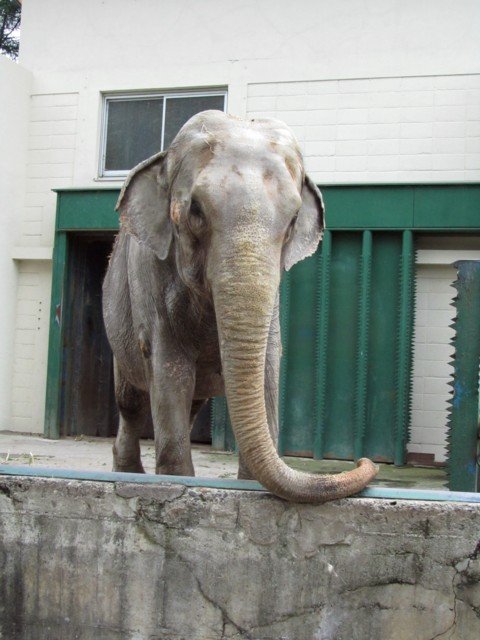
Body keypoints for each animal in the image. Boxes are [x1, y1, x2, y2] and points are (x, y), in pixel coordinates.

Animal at [102, 110, 378, 502]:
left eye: (293, 219)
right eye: (195, 210)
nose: (363, 461)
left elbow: (267, 367)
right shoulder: (149, 279)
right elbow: (170, 368)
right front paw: (178, 483)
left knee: (188, 404)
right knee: (131, 402)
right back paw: (128, 473)